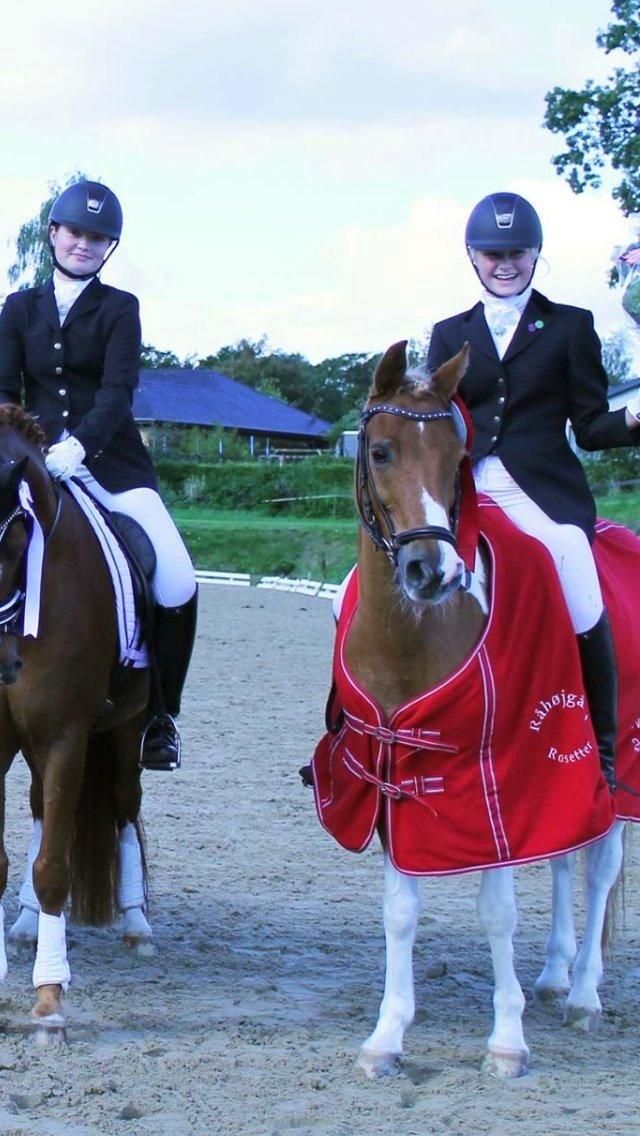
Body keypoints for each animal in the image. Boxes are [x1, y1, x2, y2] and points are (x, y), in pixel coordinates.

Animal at [310, 340, 627, 1078]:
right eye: (380, 452)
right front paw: (387, 1035)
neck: (415, 634)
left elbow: (498, 910)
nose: (434, 573)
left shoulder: (499, 774)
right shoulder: (393, 771)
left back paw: (585, 994)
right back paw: (556, 975)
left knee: (600, 865)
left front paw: (507, 1039)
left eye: (456, 454)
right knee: (565, 858)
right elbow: (400, 910)